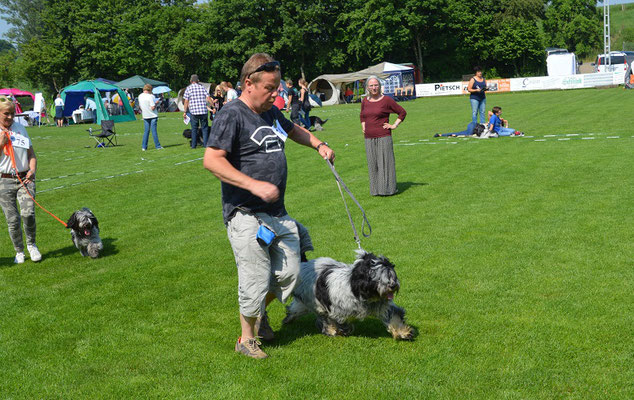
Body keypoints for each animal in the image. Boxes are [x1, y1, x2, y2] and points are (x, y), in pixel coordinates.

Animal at [282, 252, 412, 340]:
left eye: (391, 274)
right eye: (379, 277)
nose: (393, 285)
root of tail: (303, 264)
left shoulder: (383, 306)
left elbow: (394, 315)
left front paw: (402, 332)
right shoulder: (336, 309)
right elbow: (334, 320)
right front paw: (336, 331)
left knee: (295, 309)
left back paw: (288, 319)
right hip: (313, 301)